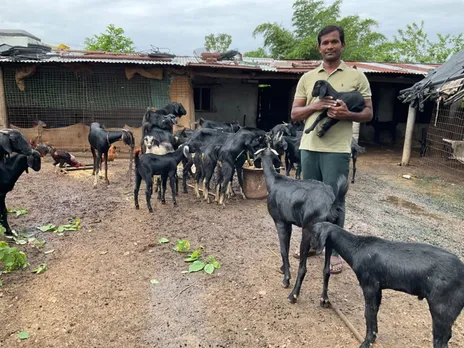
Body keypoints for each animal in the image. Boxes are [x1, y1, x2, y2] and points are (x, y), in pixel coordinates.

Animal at [252, 147, 346, 302]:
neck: (275, 181)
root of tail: (330, 203)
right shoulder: (288, 224)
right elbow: (287, 247)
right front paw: (283, 268)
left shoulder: (280, 222)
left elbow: (283, 250)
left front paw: (286, 279)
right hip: (330, 237)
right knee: (326, 270)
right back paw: (324, 299)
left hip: (307, 232)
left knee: (303, 268)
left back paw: (293, 295)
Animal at [312, 223, 464, 348]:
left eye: (314, 232)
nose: (311, 247)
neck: (357, 248)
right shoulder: (378, 289)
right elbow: (374, 312)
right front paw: (373, 337)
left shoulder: (369, 286)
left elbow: (369, 313)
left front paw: (366, 342)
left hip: (442, 309)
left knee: (441, 339)